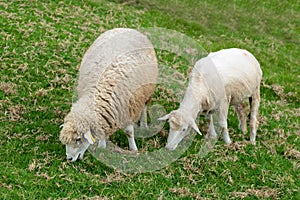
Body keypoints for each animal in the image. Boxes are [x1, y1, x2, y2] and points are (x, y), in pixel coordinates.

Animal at [59, 28, 161, 162]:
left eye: (78, 139)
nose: (69, 159)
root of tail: (127, 28)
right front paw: (102, 146)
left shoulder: (128, 108)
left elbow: (129, 132)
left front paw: (134, 149)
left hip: (147, 91)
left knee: (144, 107)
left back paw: (144, 125)